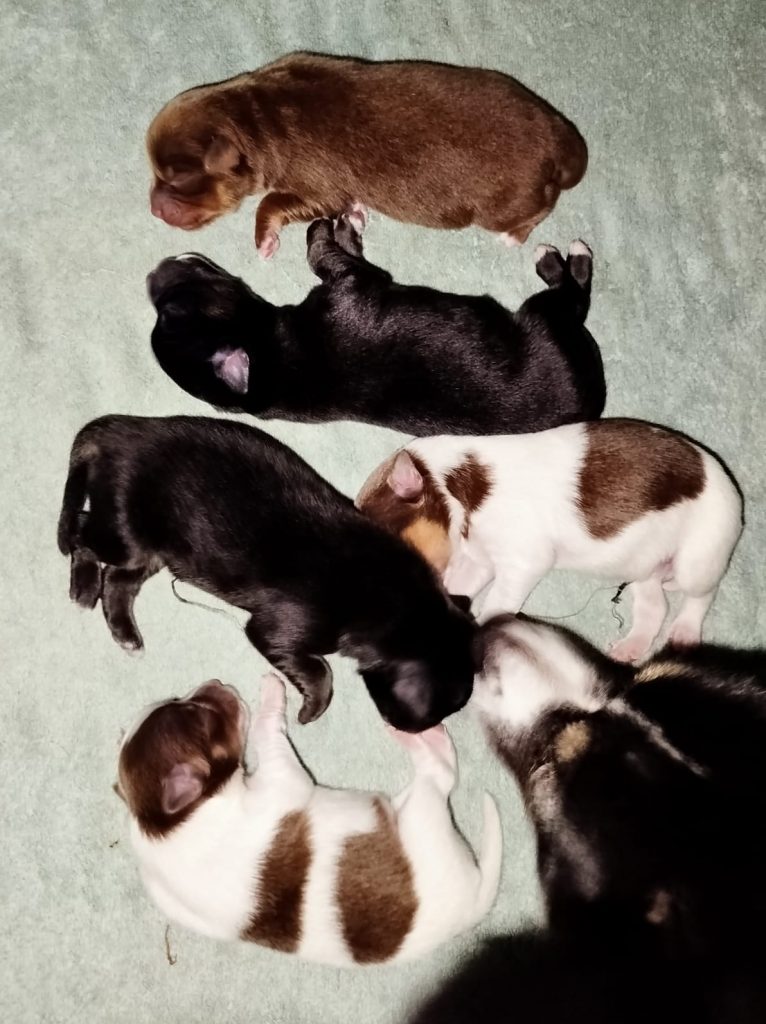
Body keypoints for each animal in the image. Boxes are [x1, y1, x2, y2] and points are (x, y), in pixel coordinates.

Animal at [57, 415, 479, 730]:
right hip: (126, 532)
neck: (393, 596)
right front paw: (310, 710)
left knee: (118, 580)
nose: (409, 729)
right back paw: (83, 587)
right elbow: (320, 671)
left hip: (153, 551)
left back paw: (126, 635)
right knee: (79, 529)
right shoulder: (278, 630)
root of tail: (119, 430)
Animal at [117, 673, 502, 964]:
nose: (215, 683)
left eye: (181, 701)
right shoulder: (285, 779)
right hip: (421, 814)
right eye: (196, 713)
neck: (162, 824)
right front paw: (271, 691)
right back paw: (420, 736)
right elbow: (267, 731)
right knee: (441, 773)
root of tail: (473, 906)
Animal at [147, 52, 588, 257]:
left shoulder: (320, 187)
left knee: (543, 205)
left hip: (505, 203)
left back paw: (513, 236)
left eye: (178, 179)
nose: (152, 208)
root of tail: (559, 135)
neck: (256, 113)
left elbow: (270, 202)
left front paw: (265, 239)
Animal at [147, 220, 605, 436]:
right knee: (574, 298)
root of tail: (593, 404)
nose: (151, 274)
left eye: (165, 312)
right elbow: (321, 252)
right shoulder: (352, 281)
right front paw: (321, 227)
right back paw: (563, 258)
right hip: (544, 319)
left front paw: (345, 226)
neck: (273, 365)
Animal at [356, 419, 743, 663]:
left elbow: (496, 605)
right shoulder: (480, 559)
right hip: (643, 566)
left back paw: (685, 632)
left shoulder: (523, 561)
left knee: (702, 595)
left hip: (698, 558)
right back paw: (630, 648)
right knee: (654, 607)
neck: (452, 484)